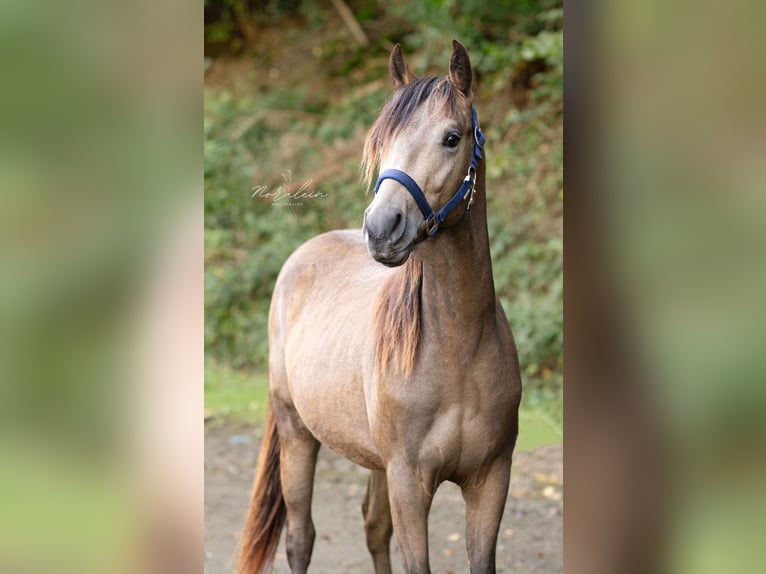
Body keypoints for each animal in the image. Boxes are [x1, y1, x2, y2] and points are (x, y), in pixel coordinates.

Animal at [237, 40, 520, 574]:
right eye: (381, 143)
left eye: (452, 138)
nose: (381, 227)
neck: (457, 350)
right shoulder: (409, 480)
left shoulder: (490, 480)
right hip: (296, 433)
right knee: (300, 537)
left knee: (372, 527)